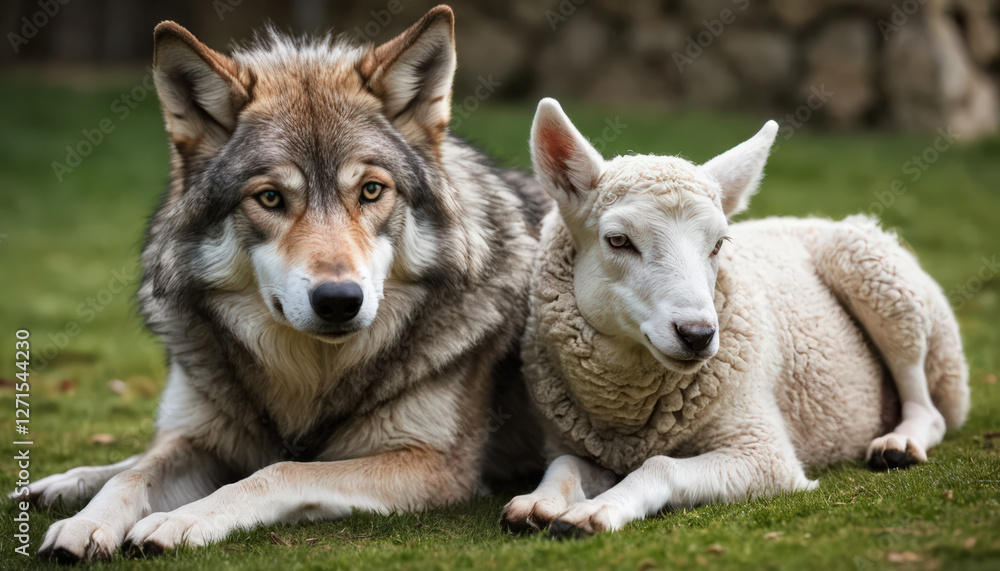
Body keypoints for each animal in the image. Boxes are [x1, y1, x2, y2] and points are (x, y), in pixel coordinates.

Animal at [18, 6, 547, 561]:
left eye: (371, 191)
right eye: (271, 198)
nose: (339, 301)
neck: (310, 379)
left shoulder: (436, 465)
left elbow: (280, 469)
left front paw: (181, 520)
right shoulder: (200, 436)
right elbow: (134, 473)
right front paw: (85, 522)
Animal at [501, 98, 971, 538]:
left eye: (719, 244)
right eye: (617, 241)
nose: (698, 335)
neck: (629, 420)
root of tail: (821, 220)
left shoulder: (764, 451)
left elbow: (660, 466)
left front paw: (595, 511)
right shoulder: (575, 445)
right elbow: (565, 464)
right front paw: (539, 502)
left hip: (885, 286)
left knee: (925, 401)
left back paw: (900, 442)